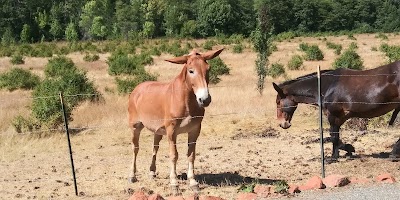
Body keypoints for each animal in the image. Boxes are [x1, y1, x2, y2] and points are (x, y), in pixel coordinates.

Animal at [272, 61, 400, 162]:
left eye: (278, 102)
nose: (282, 124)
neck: (327, 87)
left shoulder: (333, 115)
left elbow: (334, 136)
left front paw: (335, 156)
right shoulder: (338, 118)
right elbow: (335, 136)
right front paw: (346, 150)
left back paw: (394, 154)